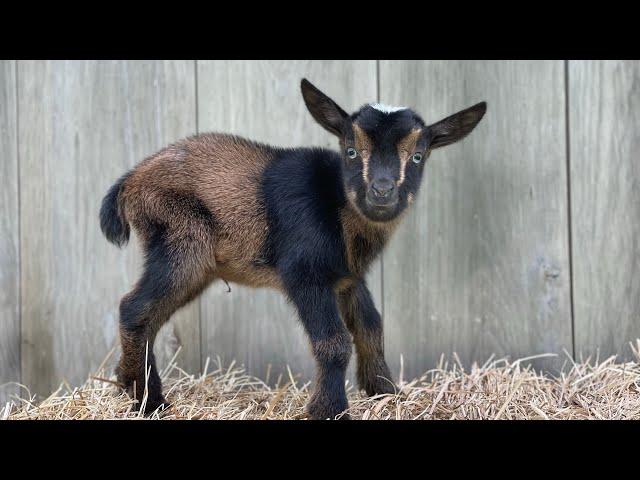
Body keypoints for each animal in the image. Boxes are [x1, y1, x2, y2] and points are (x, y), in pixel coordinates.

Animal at [99, 78, 484, 416]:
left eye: (418, 156)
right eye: (351, 150)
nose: (382, 191)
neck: (337, 205)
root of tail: (130, 182)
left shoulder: (346, 278)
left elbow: (371, 327)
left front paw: (386, 393)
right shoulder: (304, 273)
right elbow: (334, 342)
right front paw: (329, 410)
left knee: (150, 316)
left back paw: (130, 385)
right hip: (181, 240)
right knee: (134, 308)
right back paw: (149, 402)